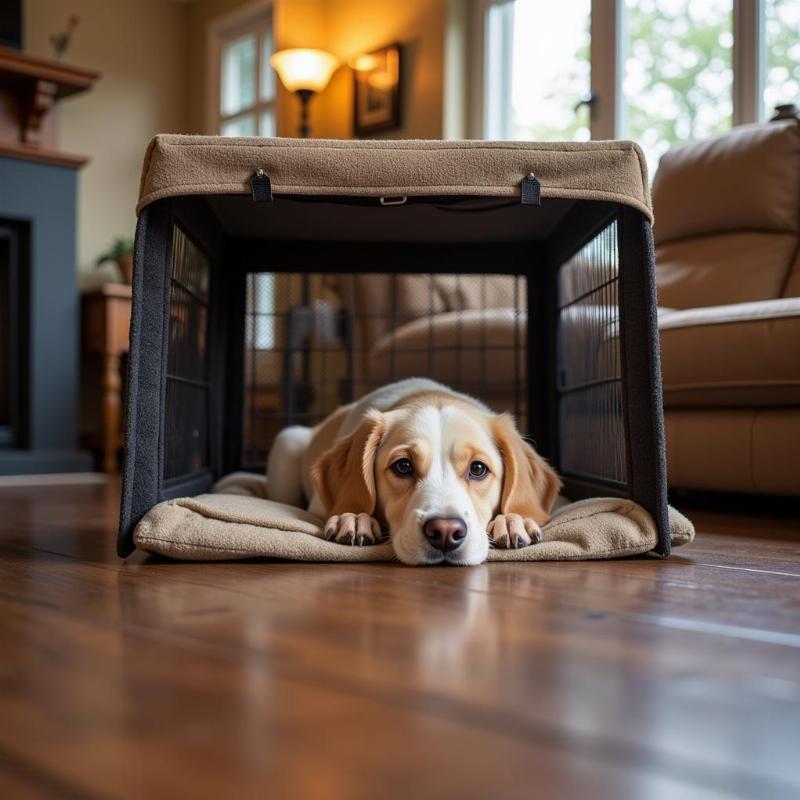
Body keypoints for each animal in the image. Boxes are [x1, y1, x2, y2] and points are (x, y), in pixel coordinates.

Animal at [266, 378, 560, 564]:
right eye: (403, 466)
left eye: (478, 468)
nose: (445, 532)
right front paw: (355, 517)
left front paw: (512, 520)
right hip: (287, 444)